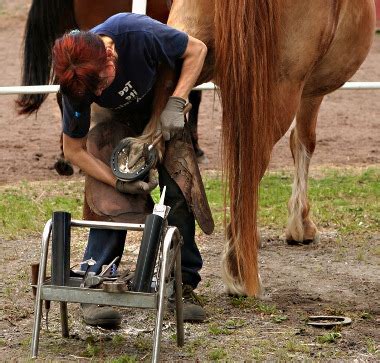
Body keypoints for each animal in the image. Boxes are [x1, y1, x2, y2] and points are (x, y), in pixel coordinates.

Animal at [140, 0, 374, 296]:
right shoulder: (310, 92)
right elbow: (303, 141)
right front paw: (300, 224)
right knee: (250, 169)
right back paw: (239, 271)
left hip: (187, 42)